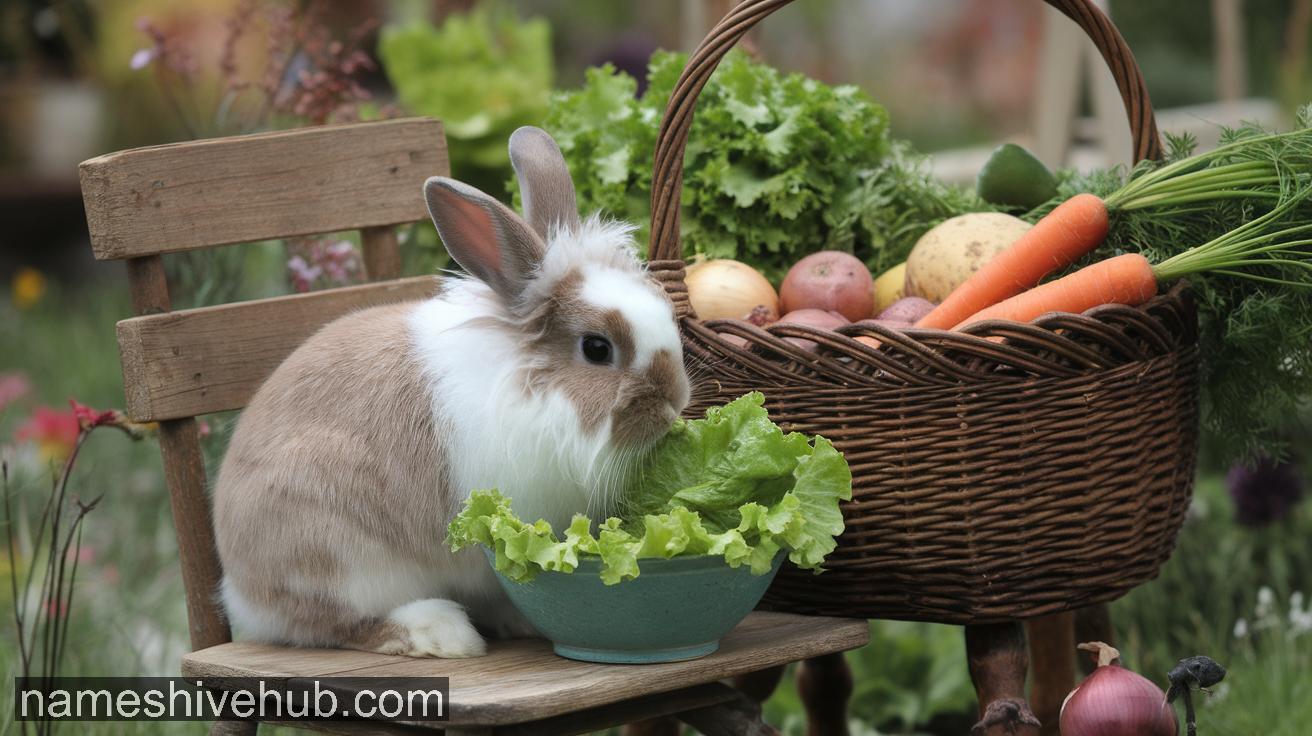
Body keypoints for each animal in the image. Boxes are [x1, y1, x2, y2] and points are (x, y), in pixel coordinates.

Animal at [213, 126, 691, 658]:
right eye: (597, 348)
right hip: (334, 553)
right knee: (337, 624)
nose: (675, 403)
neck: (529, 384)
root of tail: (240, 592)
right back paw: (441, 634)